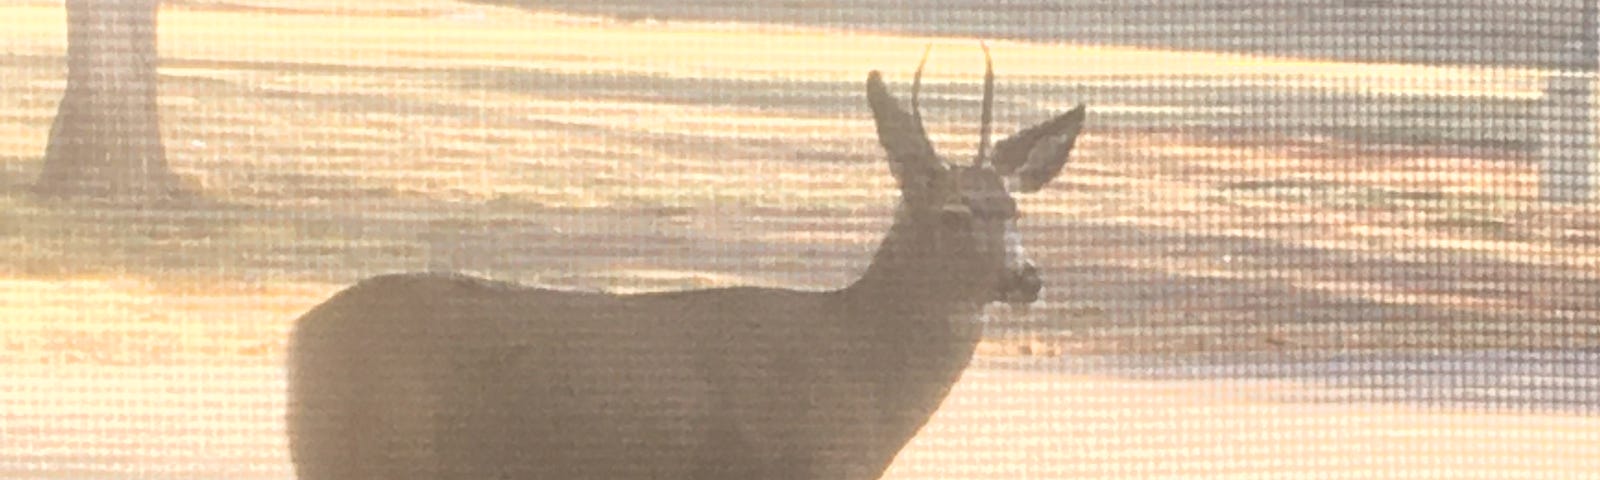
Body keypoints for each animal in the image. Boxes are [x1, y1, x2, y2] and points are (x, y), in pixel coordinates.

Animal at [288, 46, 1088, 480]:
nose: (1027, 279)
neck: (859, 377)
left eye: (1014, 211)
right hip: (368, 450)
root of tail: (300, 334)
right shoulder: (795, 463)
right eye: (951, 215)